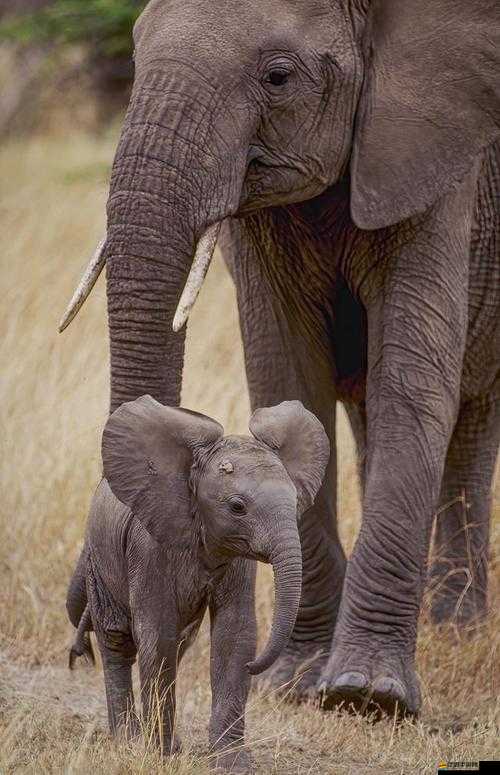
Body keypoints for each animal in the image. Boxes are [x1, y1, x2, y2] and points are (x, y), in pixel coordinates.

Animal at [60, 0, 500, 719]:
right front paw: (298, 680)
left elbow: (413, 377)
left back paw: (455, 628)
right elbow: (285, 369)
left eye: (279, 76)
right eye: (135, 53)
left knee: (471, 411)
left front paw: (367, 694)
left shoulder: (439, 151)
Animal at [67, 396, 330, 770]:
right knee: (117, 639)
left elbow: (234, 634)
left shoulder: (237, 556)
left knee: (181, 642)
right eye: (237, 507)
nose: (256, 668)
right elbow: (157, 634)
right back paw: (128, 740)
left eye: (295, 502)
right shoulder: (149, 548)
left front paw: (231, 764)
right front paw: (160, 755)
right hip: (98, 559)